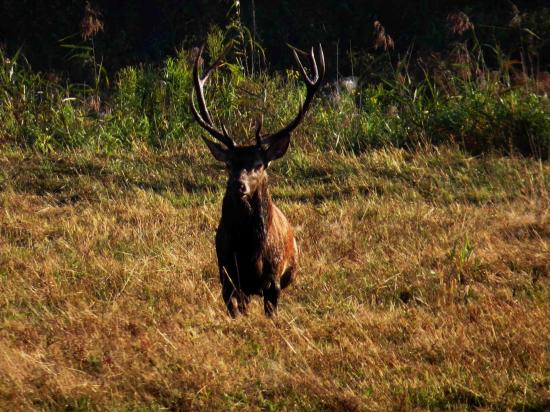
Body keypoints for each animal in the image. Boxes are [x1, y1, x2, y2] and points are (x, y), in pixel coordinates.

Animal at [191, 44, 326, 316]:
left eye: (258, 165)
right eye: (229, 163)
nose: (238, 185)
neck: (248, 252)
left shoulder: (273, 280)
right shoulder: (227, 277)